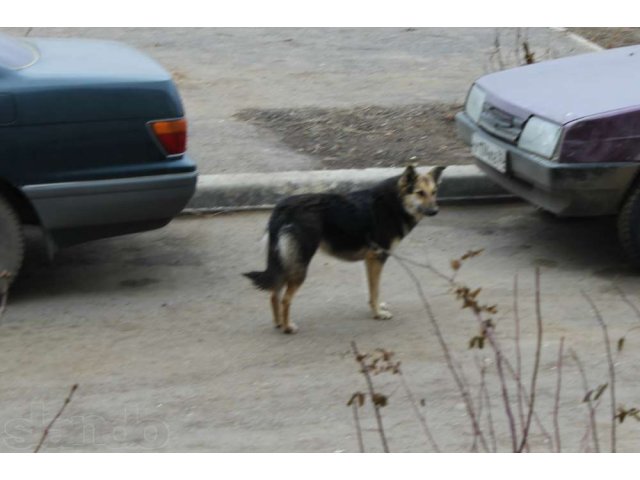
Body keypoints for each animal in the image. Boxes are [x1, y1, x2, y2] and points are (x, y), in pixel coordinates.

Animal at [244, 165, 444, 334]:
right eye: (420, 193)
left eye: (434, 192)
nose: (435, 211)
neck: (395, 202)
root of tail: (283, 207)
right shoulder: (377, 258)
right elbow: (375, 290)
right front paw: (378, 314)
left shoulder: (369, 261)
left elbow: (372, 291)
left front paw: (376, 308)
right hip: (299, 263)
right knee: (285, 298)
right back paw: (287, 327)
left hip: (285, 260)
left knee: (274, 294)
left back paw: (278, 323)